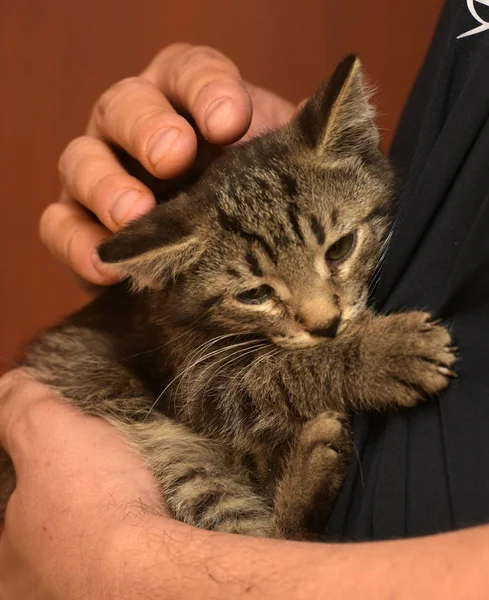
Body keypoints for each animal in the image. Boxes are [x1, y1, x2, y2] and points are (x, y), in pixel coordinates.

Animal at [14, 56, 458, 540]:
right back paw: (311, 469)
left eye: (340, 248)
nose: (326, 325)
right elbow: (272, 375)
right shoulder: (195, 383)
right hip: (178, 455)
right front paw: (383, 353)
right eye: (255, 294)